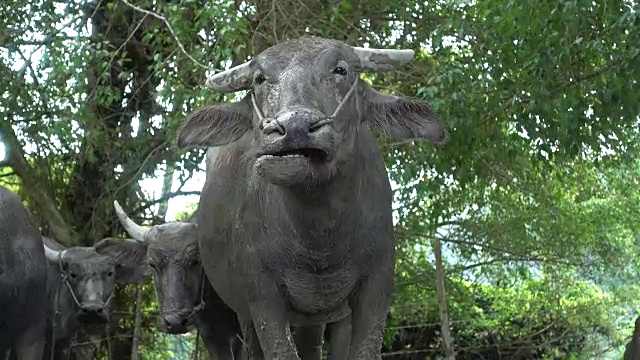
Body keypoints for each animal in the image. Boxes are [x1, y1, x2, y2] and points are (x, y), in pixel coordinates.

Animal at [172, 35, 448, 358]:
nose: (294, 128)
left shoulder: (377, 287)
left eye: (341, 70)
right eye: (259, 78)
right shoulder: (261, 298)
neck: (319, 240)